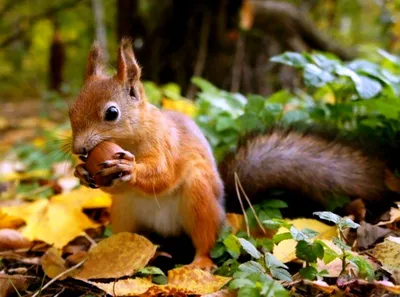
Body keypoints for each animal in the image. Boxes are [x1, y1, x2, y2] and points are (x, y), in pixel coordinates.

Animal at [69, 39, 225, 268]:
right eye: (71, 110)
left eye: (112, 113)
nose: (78, 149)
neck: (128, 142)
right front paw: (80, 171)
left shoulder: (165, 144)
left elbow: (163, 173)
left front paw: (130, 168)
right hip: (124, 213)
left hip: (200, 200)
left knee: (204, 238)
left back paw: (200, 263)